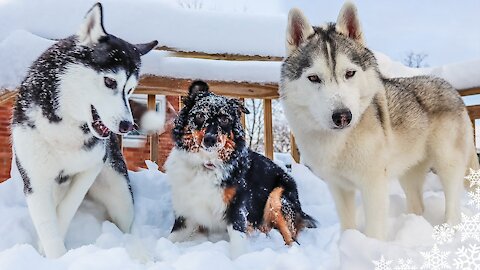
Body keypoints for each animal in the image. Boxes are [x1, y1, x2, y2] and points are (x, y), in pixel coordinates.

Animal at [165, 80, 316, 258]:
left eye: (224, 119)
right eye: (200, 115)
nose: (210, 139)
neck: (206, 166)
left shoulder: (237, 209)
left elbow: (238, 243)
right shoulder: (186, 215)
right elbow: (167, 240)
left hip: (278, 197)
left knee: (292, 239)